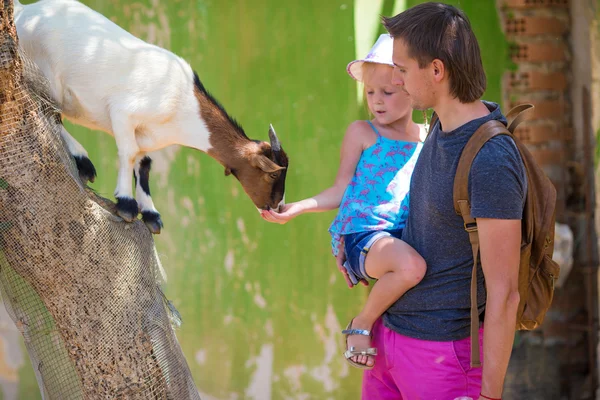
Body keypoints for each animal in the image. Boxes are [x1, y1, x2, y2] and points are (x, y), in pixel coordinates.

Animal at [12, 0, 288, 234]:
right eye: (273, 174)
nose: (276, 206)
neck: (184, 103)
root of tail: (22, 11)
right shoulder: (123, 112)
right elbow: (129, 153)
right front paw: (126, 205)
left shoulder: (148, 135)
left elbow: (143, 164)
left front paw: (151, 215)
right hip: (44, 77)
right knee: (47, 111)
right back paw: (84, 162)